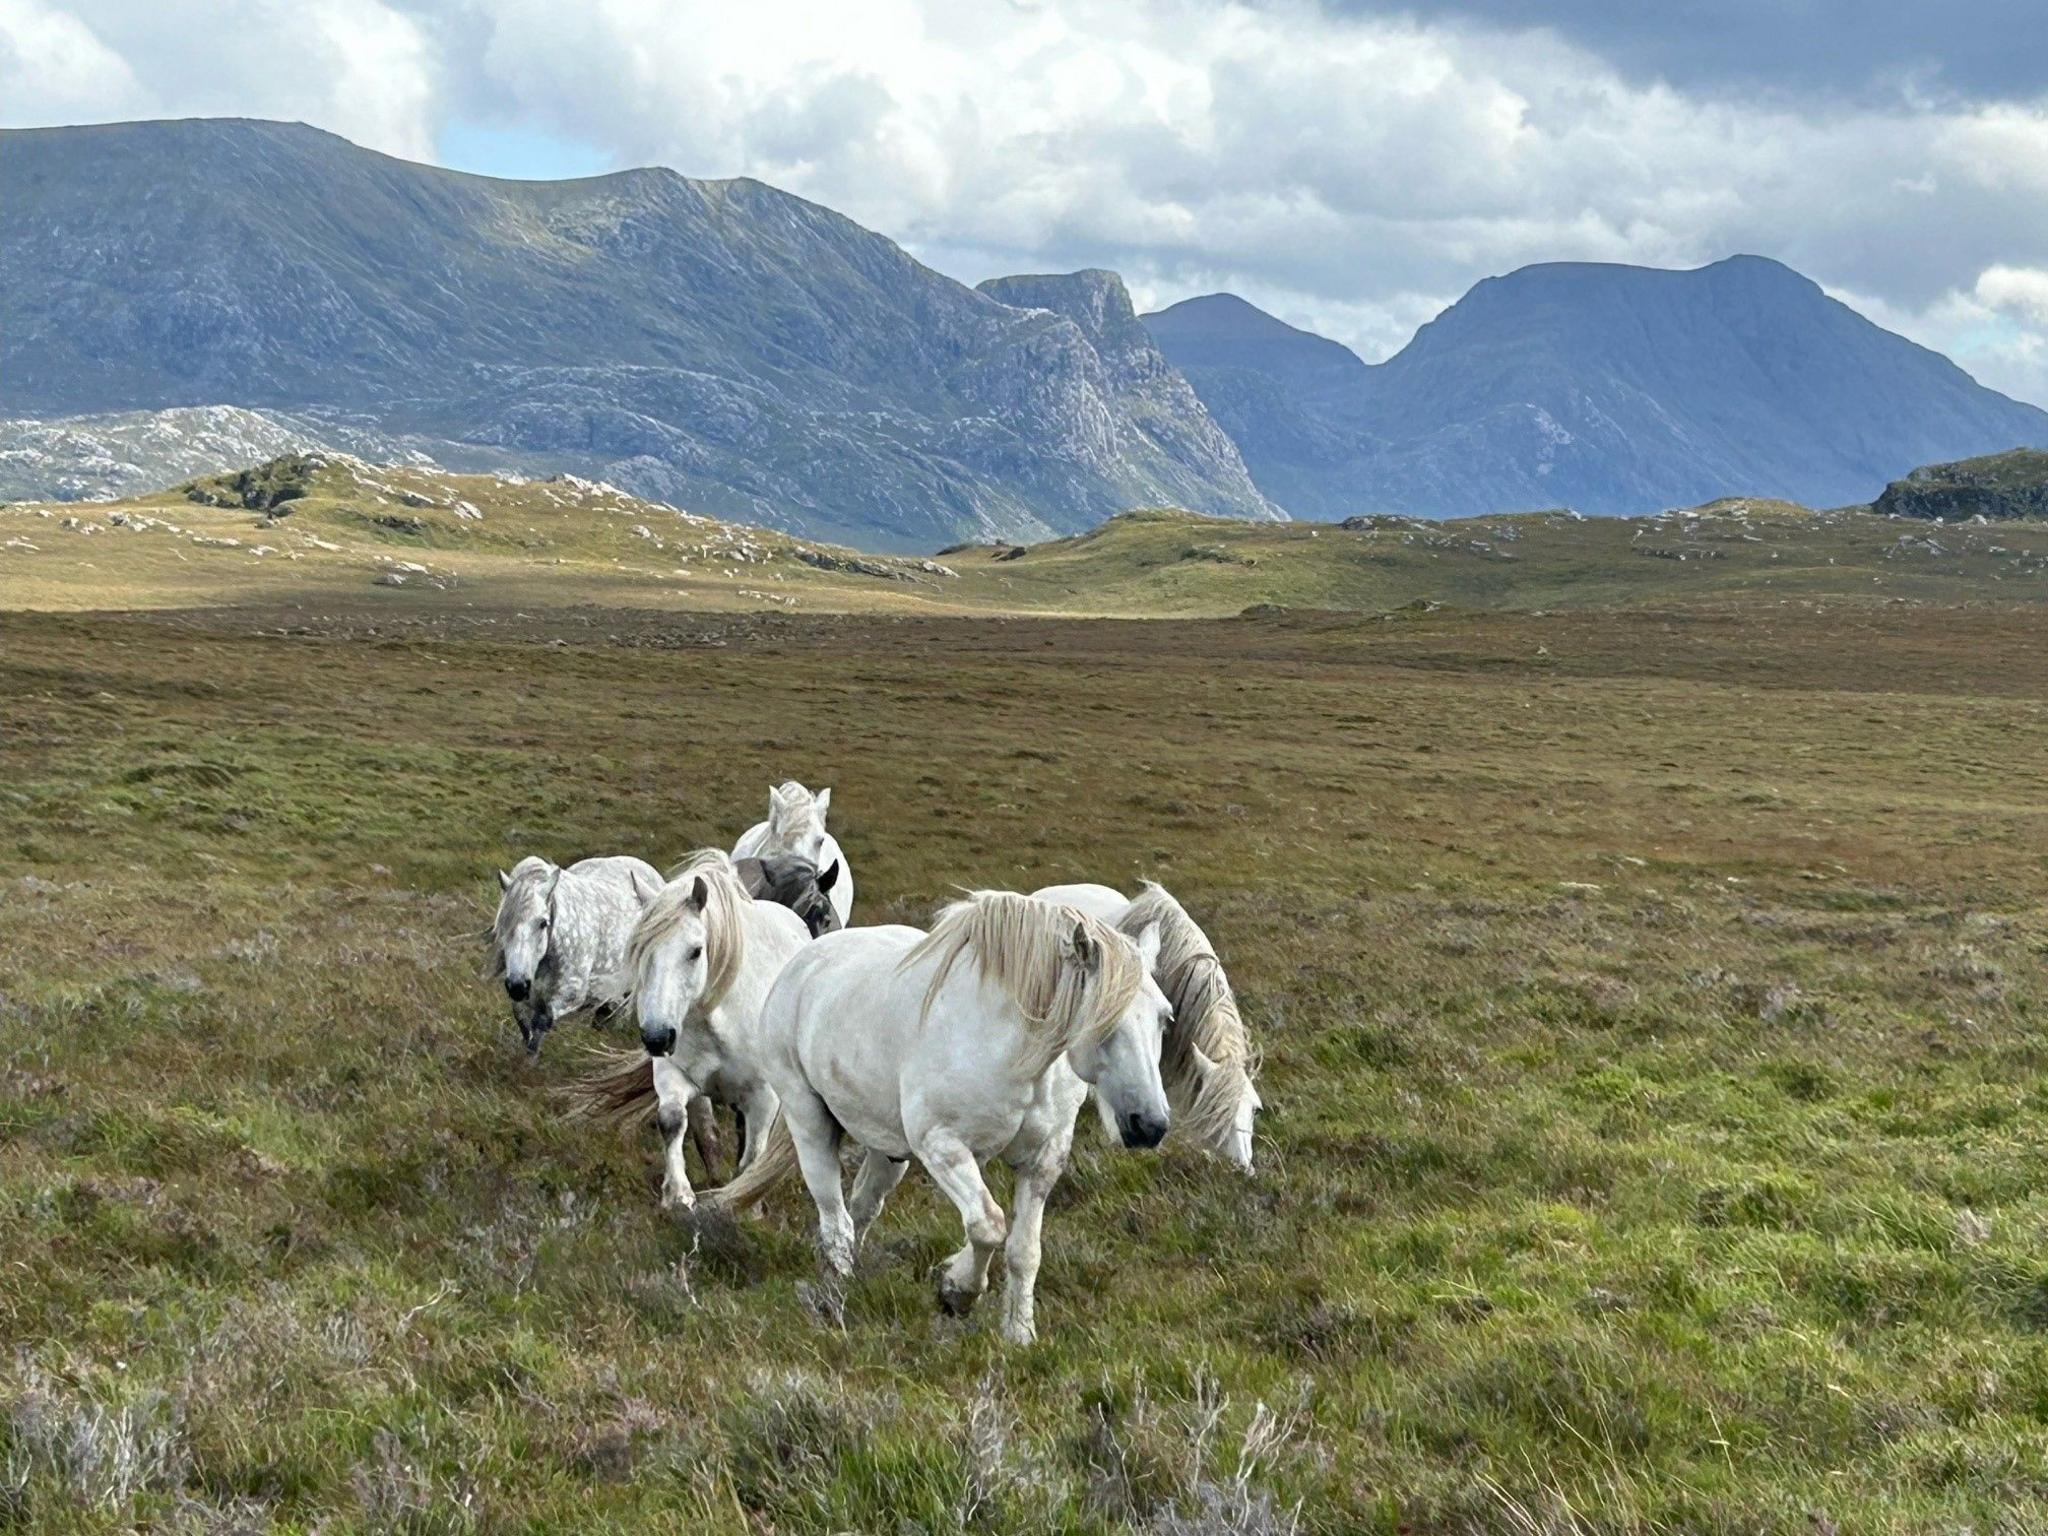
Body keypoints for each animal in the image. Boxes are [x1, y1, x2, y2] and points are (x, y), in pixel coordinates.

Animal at [573, 856, 811, 1212]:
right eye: (640, 951)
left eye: (696, 951)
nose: (657, 1038)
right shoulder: (675, 1074)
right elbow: (677, 1123)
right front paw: (679, 1194)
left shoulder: (764, 1097)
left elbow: (753, 1157)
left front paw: (746, 1207)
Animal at [716, 888, 1171, 1343]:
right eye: (1102, 1020)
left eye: (1165, 1018)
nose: (1149, 1124)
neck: (1015, 1053)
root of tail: (801, 965)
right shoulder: (942, 1146)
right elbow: (988, 1224)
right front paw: (957, 1291)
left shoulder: (1043, 1159)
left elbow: (1023, 1249)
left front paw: (1019, 1333)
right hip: (808, 1120)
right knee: (834, 1217)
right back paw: (835, 1297)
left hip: (887, 1150)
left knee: (863, 1206)